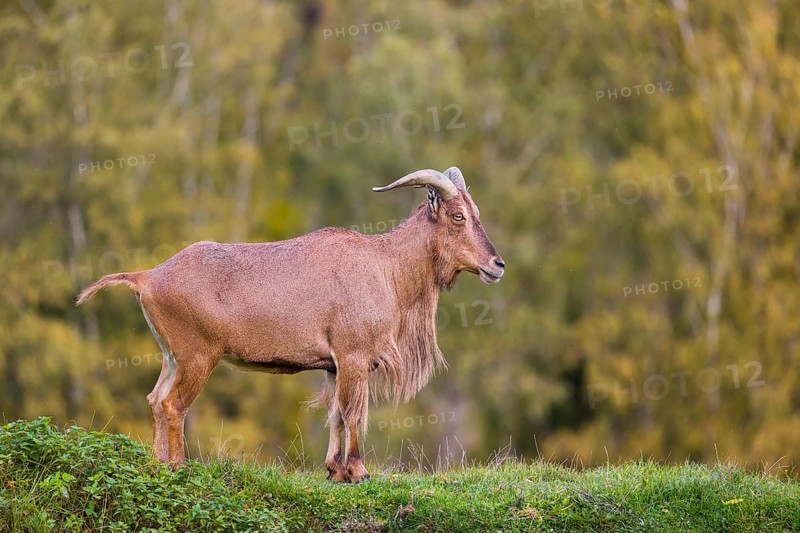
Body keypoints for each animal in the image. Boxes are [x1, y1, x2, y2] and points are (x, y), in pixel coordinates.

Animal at [76, 166, 504, 483]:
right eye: (458, 216)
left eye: (476, 213)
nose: (496, 265)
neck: (386, 266)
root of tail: (147, 277)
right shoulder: (354, 356)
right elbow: (352, 413)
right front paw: (358, 471)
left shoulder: (334, 366)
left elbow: (334, 414)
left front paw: (333, 470)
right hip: (197, 356)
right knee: (172, 404)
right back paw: (179, 467)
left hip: (171, 356)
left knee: (154, 399)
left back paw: (158, 464)